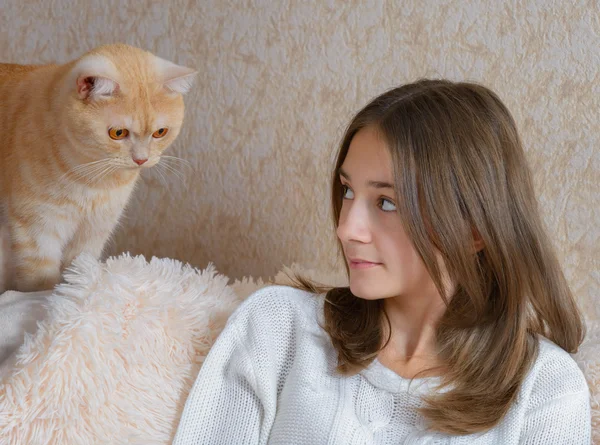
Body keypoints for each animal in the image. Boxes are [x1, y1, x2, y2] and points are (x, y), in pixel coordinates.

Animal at [0, 42, 197, 292]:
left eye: (160, 132)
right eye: (118, 133)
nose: (141, 159)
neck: (91, 178)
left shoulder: (95, 230)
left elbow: (79, 269)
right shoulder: (36, 230)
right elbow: (41, 280)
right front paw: (44, 297)